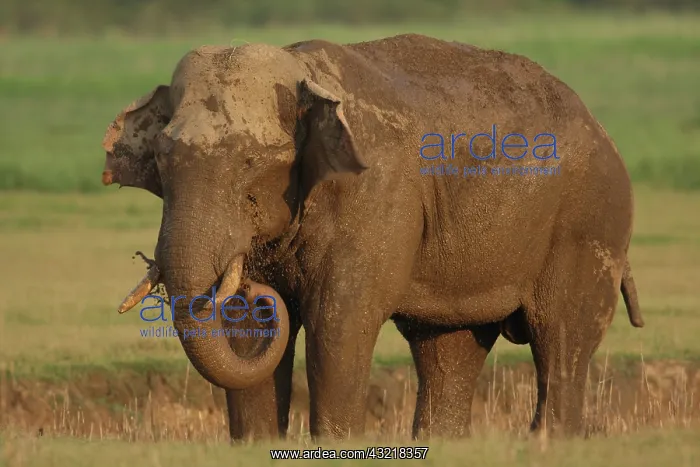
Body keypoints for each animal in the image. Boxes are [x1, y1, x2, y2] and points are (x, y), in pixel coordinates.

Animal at [101, 33, 644, 441]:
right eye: (162, 160)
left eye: (253, 161)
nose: (260, 289)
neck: (304, 72)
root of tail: (602, 128)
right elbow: (243, 328)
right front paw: (255, 444)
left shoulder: (376, 194)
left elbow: (339, 320)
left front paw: (335, 444)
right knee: (448, 346)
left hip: (590, 222)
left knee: (561, 338)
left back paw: (547, 440)